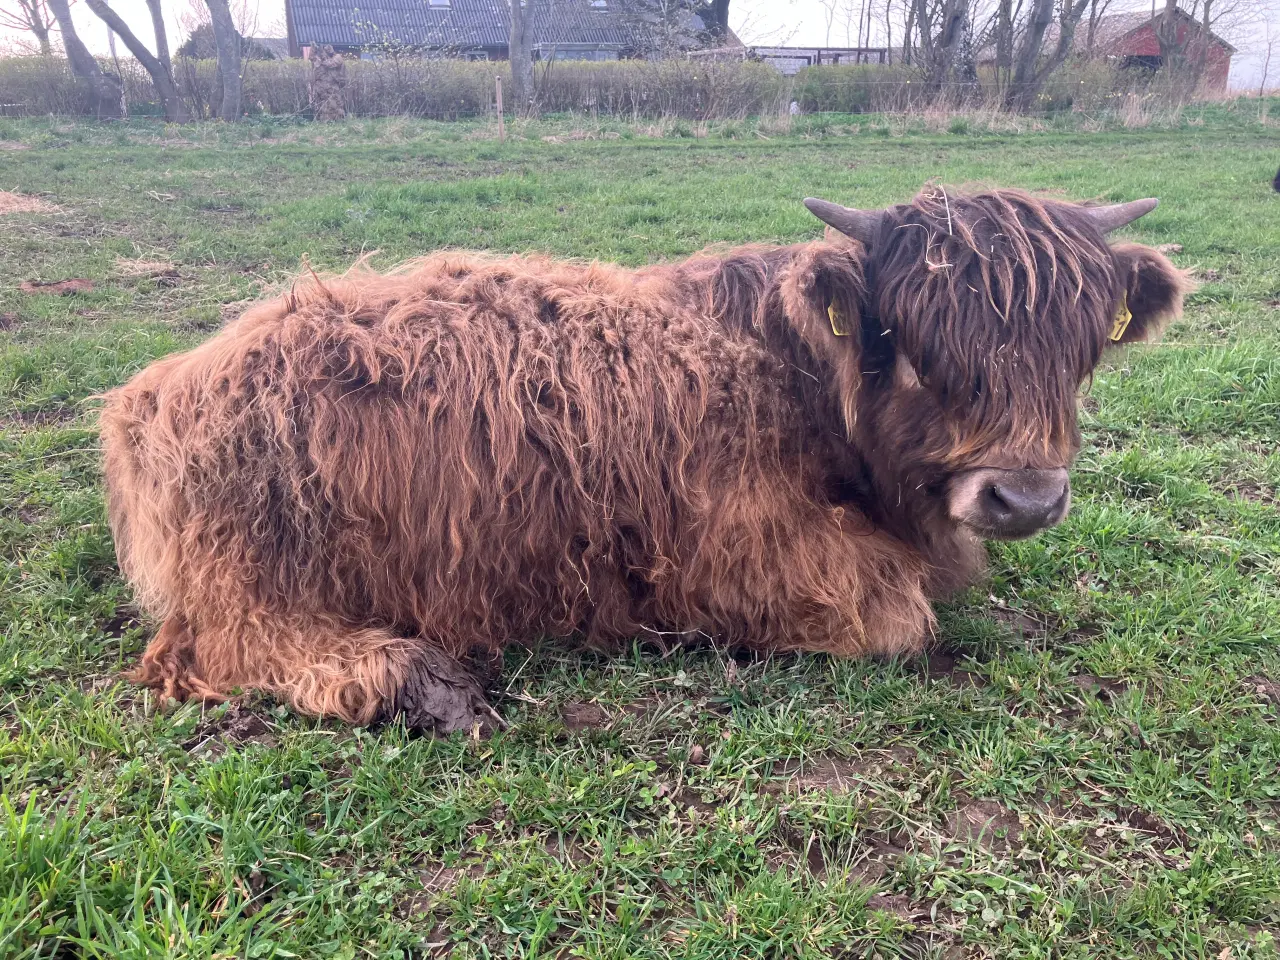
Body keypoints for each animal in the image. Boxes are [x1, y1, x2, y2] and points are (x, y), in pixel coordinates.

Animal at [99, 184, 1187, 732]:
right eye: (914, 345)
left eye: (1079, 351)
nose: (1024, 495)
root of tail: (158, 388)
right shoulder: (740, 554)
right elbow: (899, 619)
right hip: (260, 566)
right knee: (218, 649)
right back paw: (421, 685)